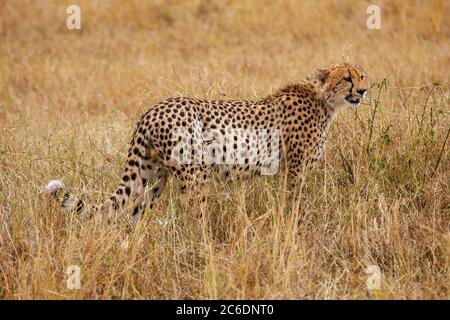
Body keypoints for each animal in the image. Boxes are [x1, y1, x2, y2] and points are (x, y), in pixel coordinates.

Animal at [47, 63, 368, 225]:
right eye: (346, 78)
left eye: (362, 76)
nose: (364, 90)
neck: (324, 101)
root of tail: (152, 110)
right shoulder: (296, 169)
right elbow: (294, 202)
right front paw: (294, 227)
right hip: (194, 174)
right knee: (194, 213)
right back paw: (203, 247)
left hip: (152, 176)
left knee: (134, 213)